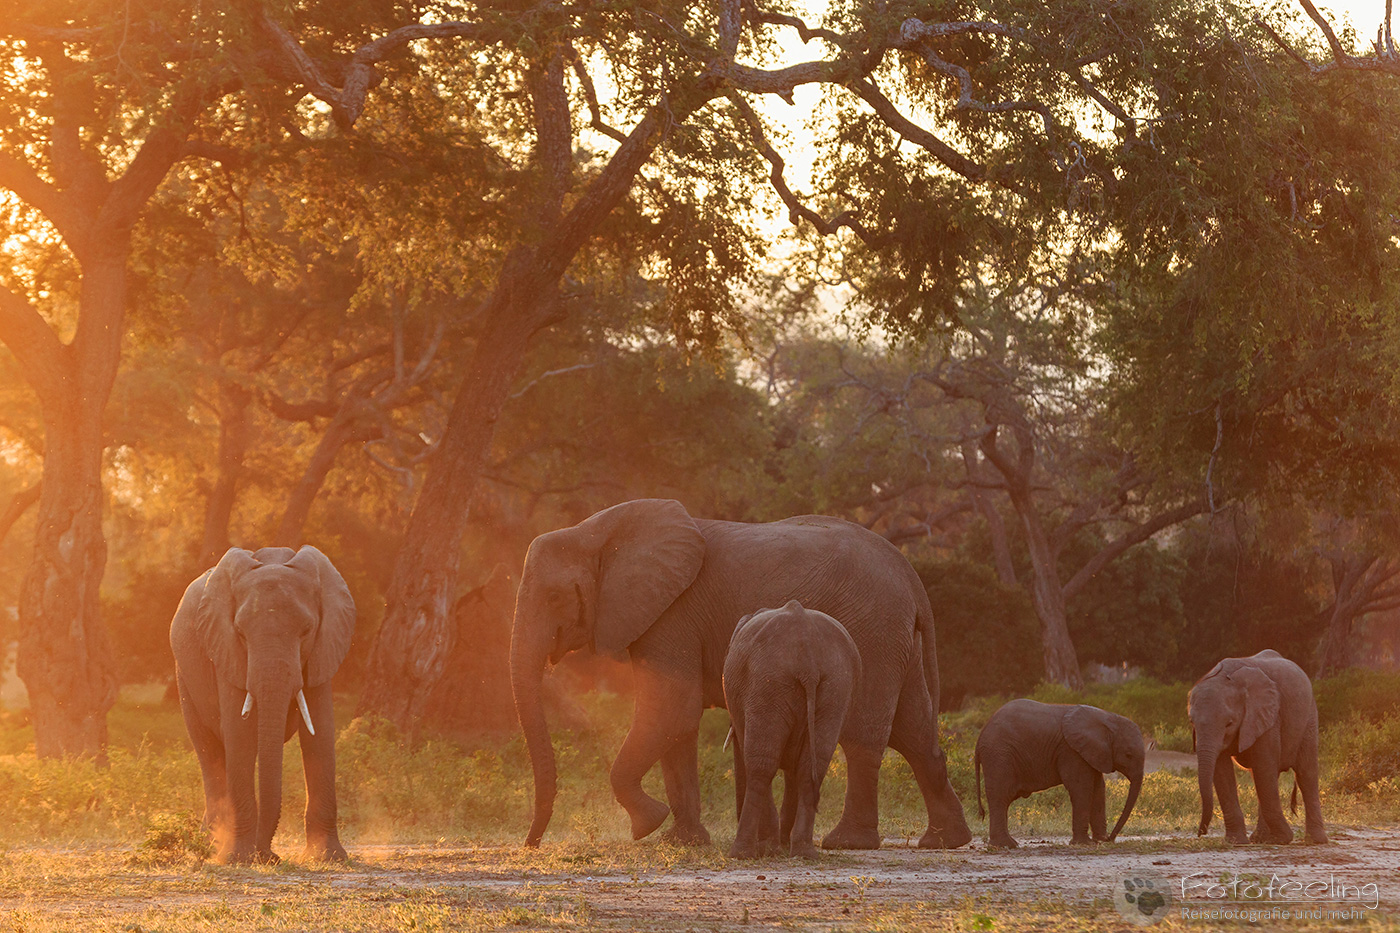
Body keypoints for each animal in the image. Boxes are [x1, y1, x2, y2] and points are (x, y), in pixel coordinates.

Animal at [170, 546, 355, 864]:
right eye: (241, 633)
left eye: (307, 630)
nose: (267, 856)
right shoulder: (225, 650)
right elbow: (240, 734)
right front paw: (238, 858)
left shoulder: (324, 648)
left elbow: (320, 735)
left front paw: (328, 857)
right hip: (184, 675)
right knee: (210, 752)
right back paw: (213, 846)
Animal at [723, 600, 861, 859]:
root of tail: (808, 661)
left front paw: (769, 847)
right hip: (835, 686)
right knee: (811, 766)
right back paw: (803, 851)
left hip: (767, 684)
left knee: (761, 765)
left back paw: (743, 852)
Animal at [974, 699, 1145, 848]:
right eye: (1128, 755)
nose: (1110, 838)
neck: (1108, 718)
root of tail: (981, 735)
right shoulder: (1071, 751)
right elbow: (1082, 788)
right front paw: (1085, 844)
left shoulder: (1093, 753)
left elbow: (1098, 790)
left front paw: (1099, 841)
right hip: (999, 755)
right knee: (1001, 796)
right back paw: (1005, 845)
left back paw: (1009, 843)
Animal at [1189, 649, 1327, 845]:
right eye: (1191, 722)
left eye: (1229, 723)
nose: (1201, 832)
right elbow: (1222, 772)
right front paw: (1236, 841)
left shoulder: (1268, 717)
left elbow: (1264, 766)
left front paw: (1283, 838)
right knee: (1267, 777)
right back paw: (1261, 838)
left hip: (1309, 717)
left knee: (1305, 773)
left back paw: (1315, 841)